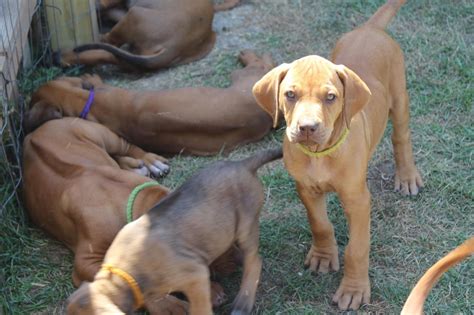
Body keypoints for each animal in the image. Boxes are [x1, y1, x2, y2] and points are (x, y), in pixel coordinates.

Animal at [21, 118, 239, 312]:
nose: (238, 261)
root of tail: (32, 134)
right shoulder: (86, 262)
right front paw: (170, 304)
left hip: (100, 134)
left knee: (125, 146)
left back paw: (149, 162)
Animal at [66, 149, 282, 315]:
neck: (126, 273)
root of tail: (243, 164)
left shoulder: (195, 277)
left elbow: (200, 309)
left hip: (246, 224)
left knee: (254, 261)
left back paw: (243, 303)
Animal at [254, 0, 424, 312]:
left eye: (331, 97)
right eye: (290, 94)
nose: (307, 128)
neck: (320, 154)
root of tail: (369, 28)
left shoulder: (358, 200)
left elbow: (356, 249)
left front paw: (354, 289)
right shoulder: (306, 189)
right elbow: (319, 224)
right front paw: (323, 256)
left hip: (399, 96)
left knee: (401, 137)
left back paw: (407, 176)